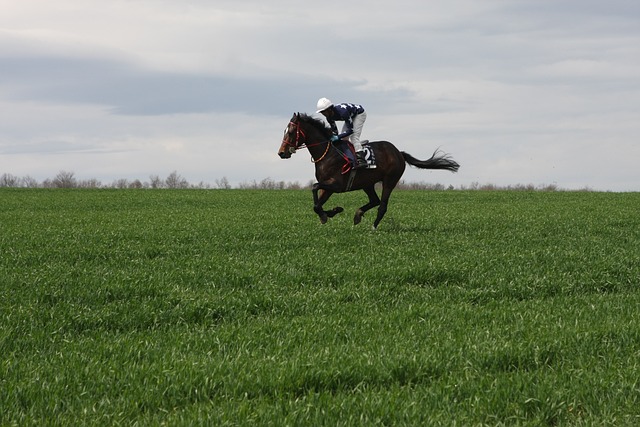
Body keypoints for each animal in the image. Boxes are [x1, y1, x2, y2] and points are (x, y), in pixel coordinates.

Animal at [278, 112, 458, 229]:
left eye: (291, 132)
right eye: (284, 131)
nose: (281, 153)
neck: (328, 153)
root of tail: (398, 152)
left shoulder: (337, 185)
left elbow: (314, 188)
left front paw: (327, 214)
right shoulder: (327, 187)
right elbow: (317, 204)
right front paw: (332, 212)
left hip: (390, 181)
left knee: (382, 205)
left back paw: (373, 227)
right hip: (367, 183)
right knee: (375, 200)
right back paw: (358, 215)